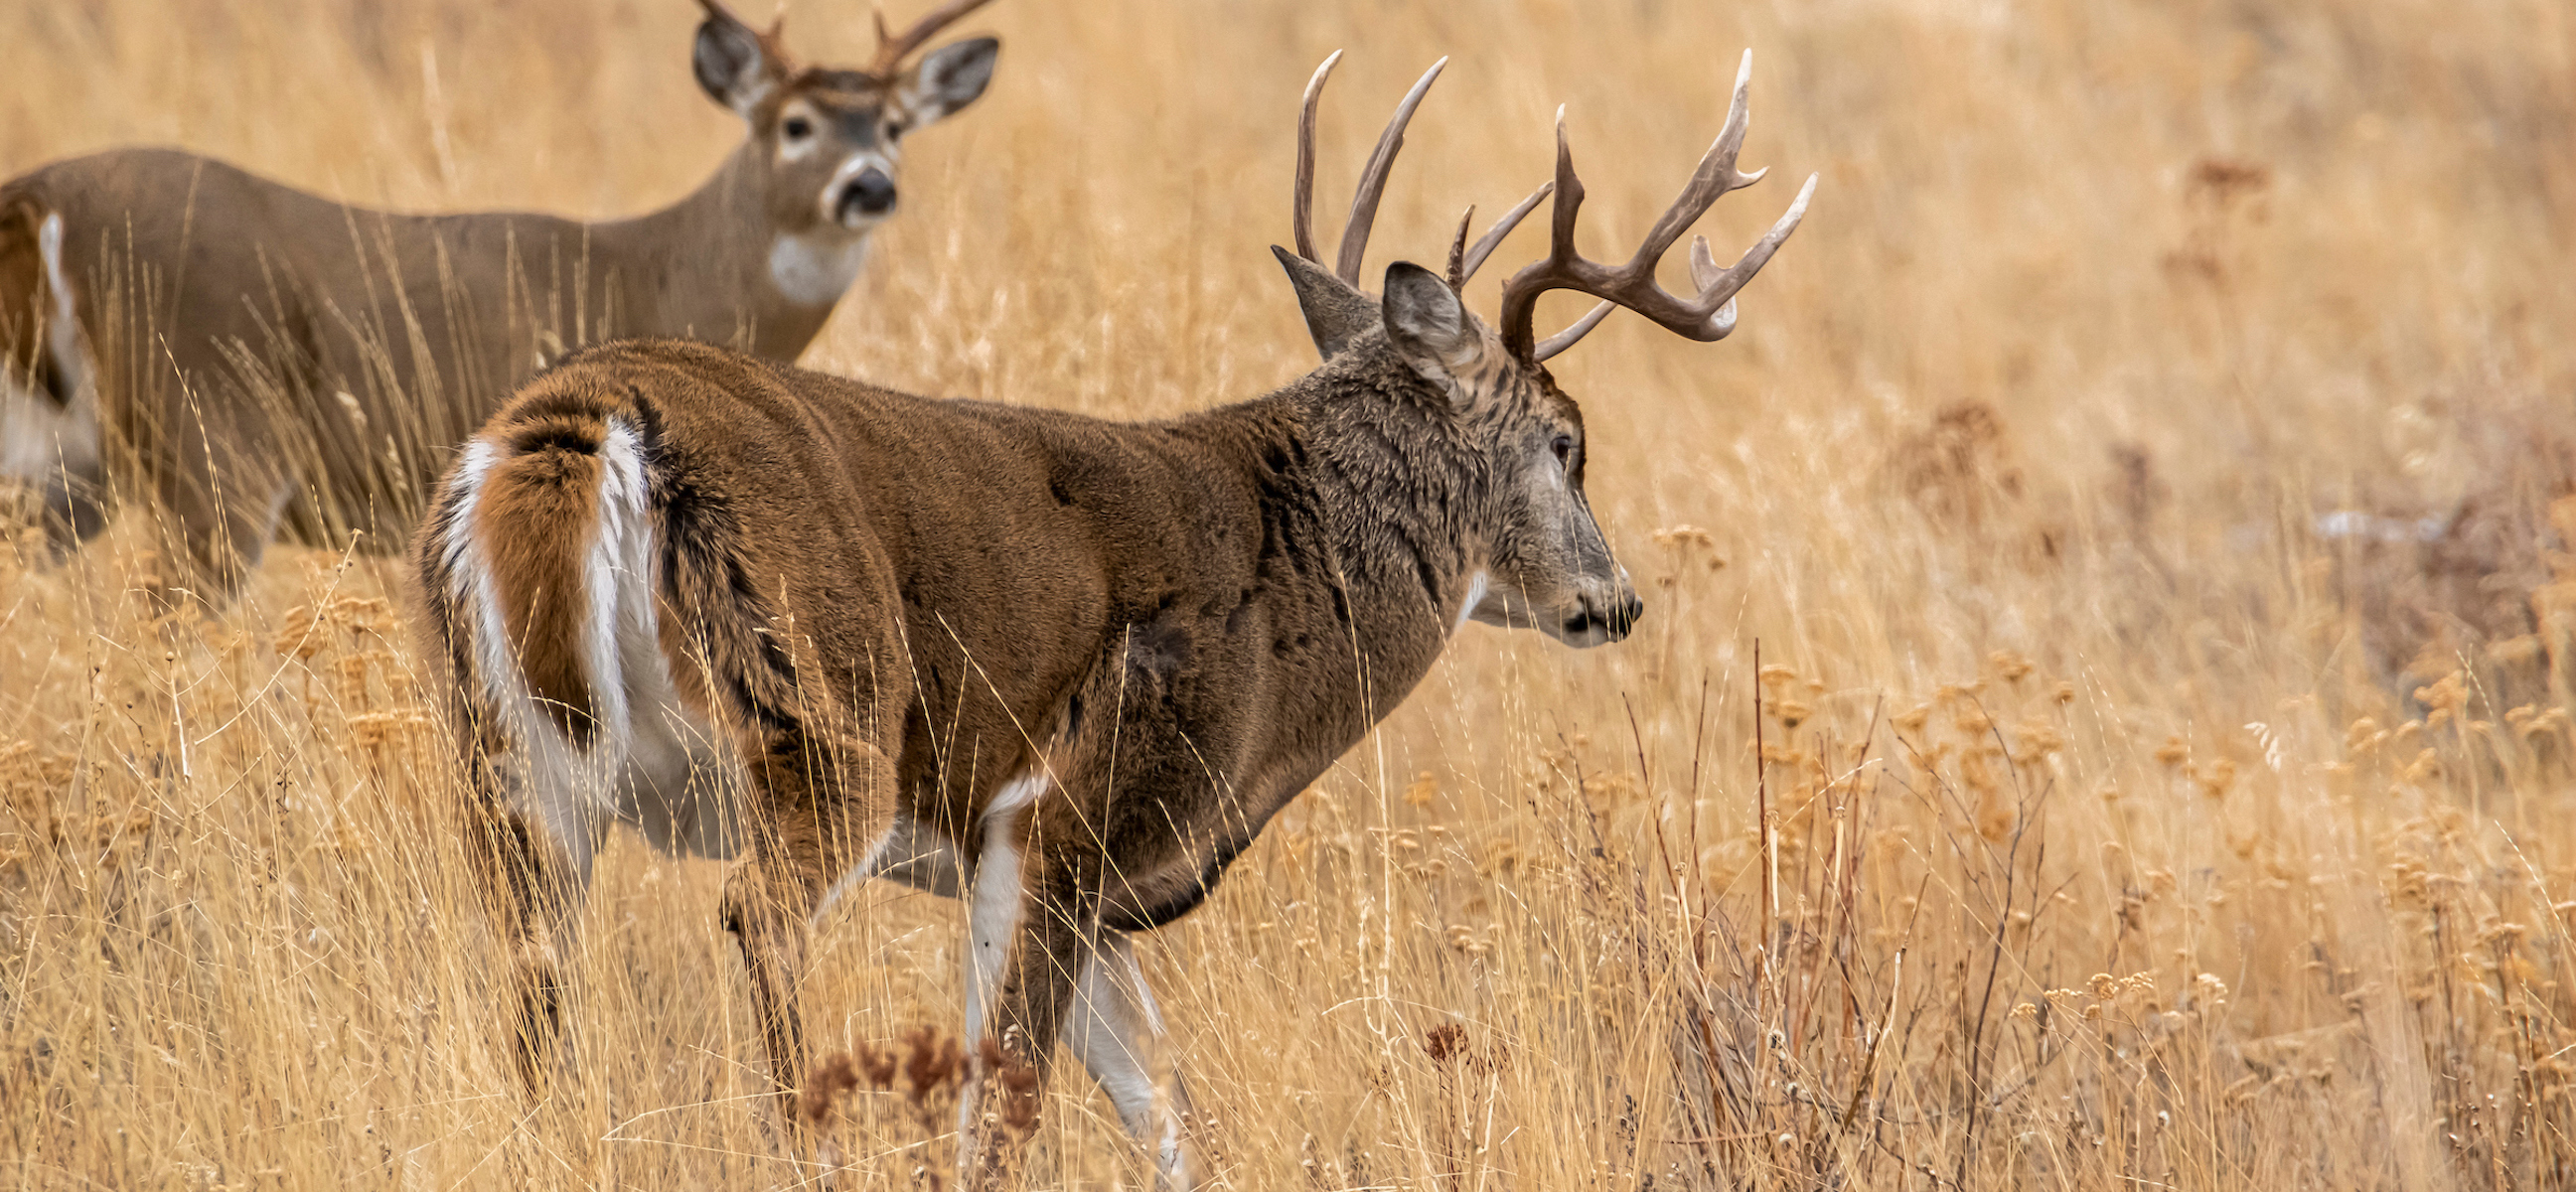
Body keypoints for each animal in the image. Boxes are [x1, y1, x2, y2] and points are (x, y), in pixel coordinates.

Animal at [0, 0, 993, 607]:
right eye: (795, 125)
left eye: (894, 126)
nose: (869, 185)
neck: (661, 274)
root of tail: (39, 198)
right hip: (213, 436)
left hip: (63, 463)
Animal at [406, 51, 1813, 1189]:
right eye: (1568, 443)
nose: (1614, 598)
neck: (1291, 569)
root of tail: (583, 431)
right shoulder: (1071, 816)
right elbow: (1002, 1112)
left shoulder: (1045, 864)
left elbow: (1166, 1112)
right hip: (820, 714)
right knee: (758, 918)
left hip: (507, 754)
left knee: (530, 975)